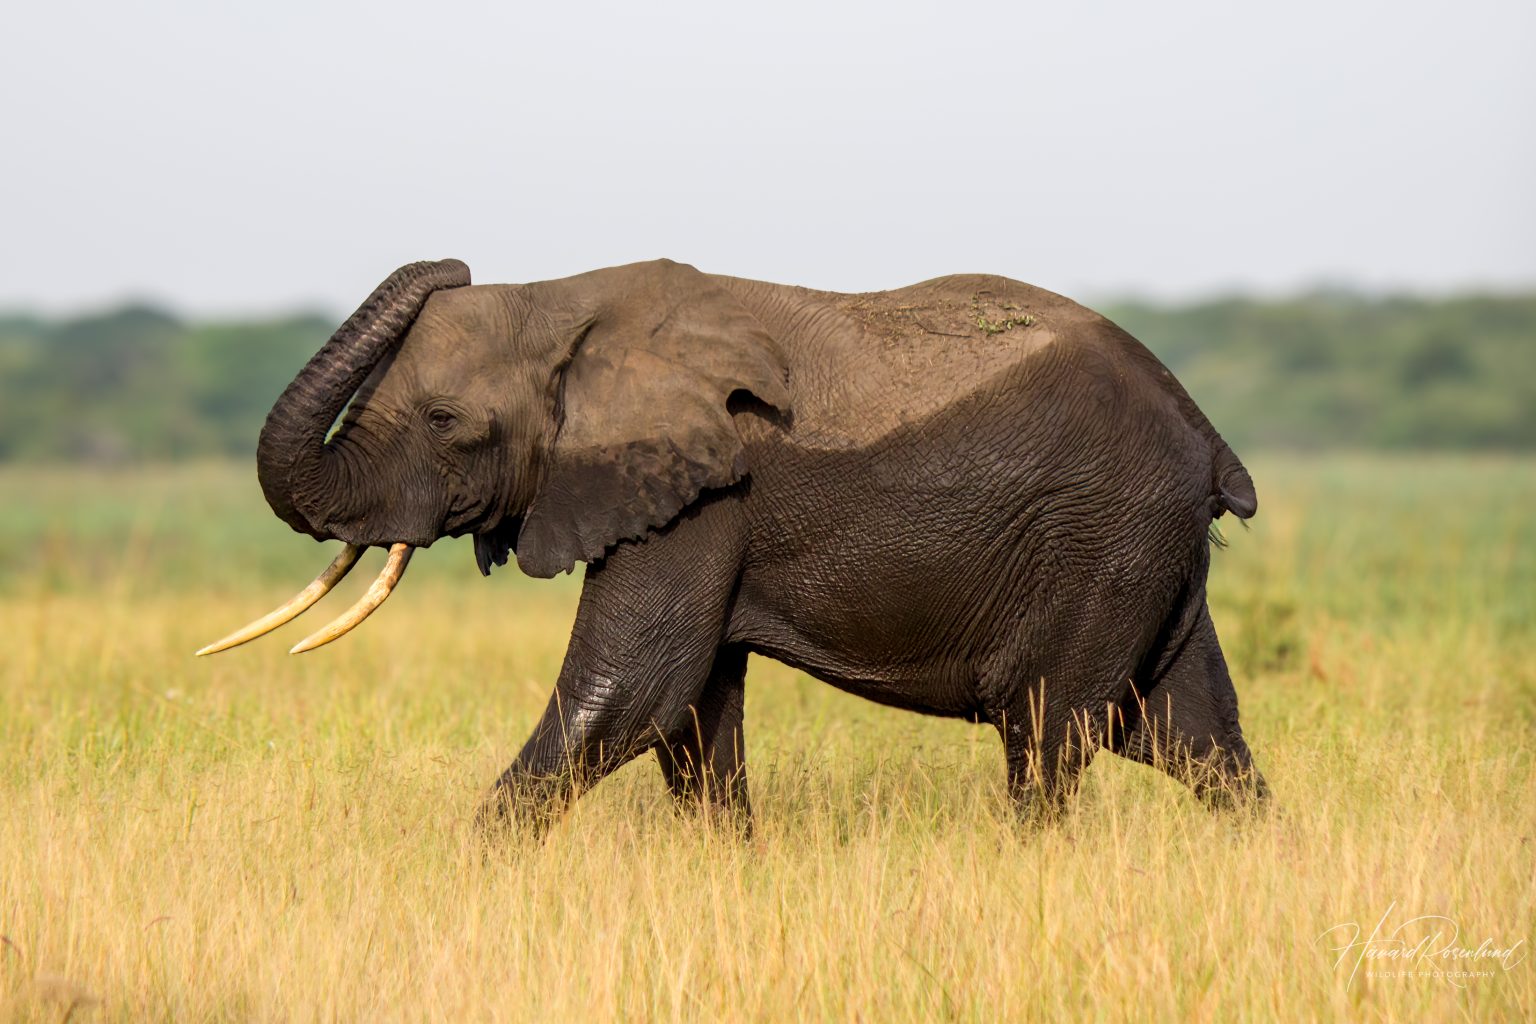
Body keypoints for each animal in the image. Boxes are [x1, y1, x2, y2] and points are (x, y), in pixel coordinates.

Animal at [200, 258, 1268, 833]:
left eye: (445, 420)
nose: (453, 263)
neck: (564, 301)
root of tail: (1209, 441)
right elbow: (689, 720)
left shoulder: (701, 493)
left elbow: (630, 691)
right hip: (1142, 556)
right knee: (1191, 737)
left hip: (1101, 541)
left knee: (1049, 739)